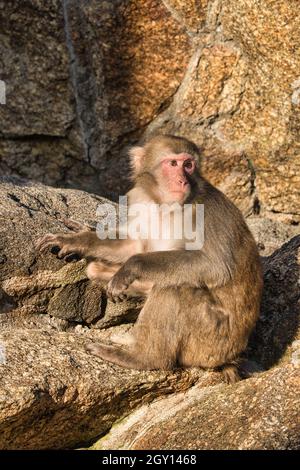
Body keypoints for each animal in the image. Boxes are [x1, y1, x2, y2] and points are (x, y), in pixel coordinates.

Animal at [37, 135, 262, 382]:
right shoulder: (140, 199)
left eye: (188, 165)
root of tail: (230, 358)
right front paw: (75, 240)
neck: (165, 205)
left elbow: (215, 266)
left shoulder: (208, 211)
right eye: (173, 164)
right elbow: (133, 245)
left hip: (210, 342)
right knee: (97, 269)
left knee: (175, 289)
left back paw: (142, 358)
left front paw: (132, 267)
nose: (182, 181)